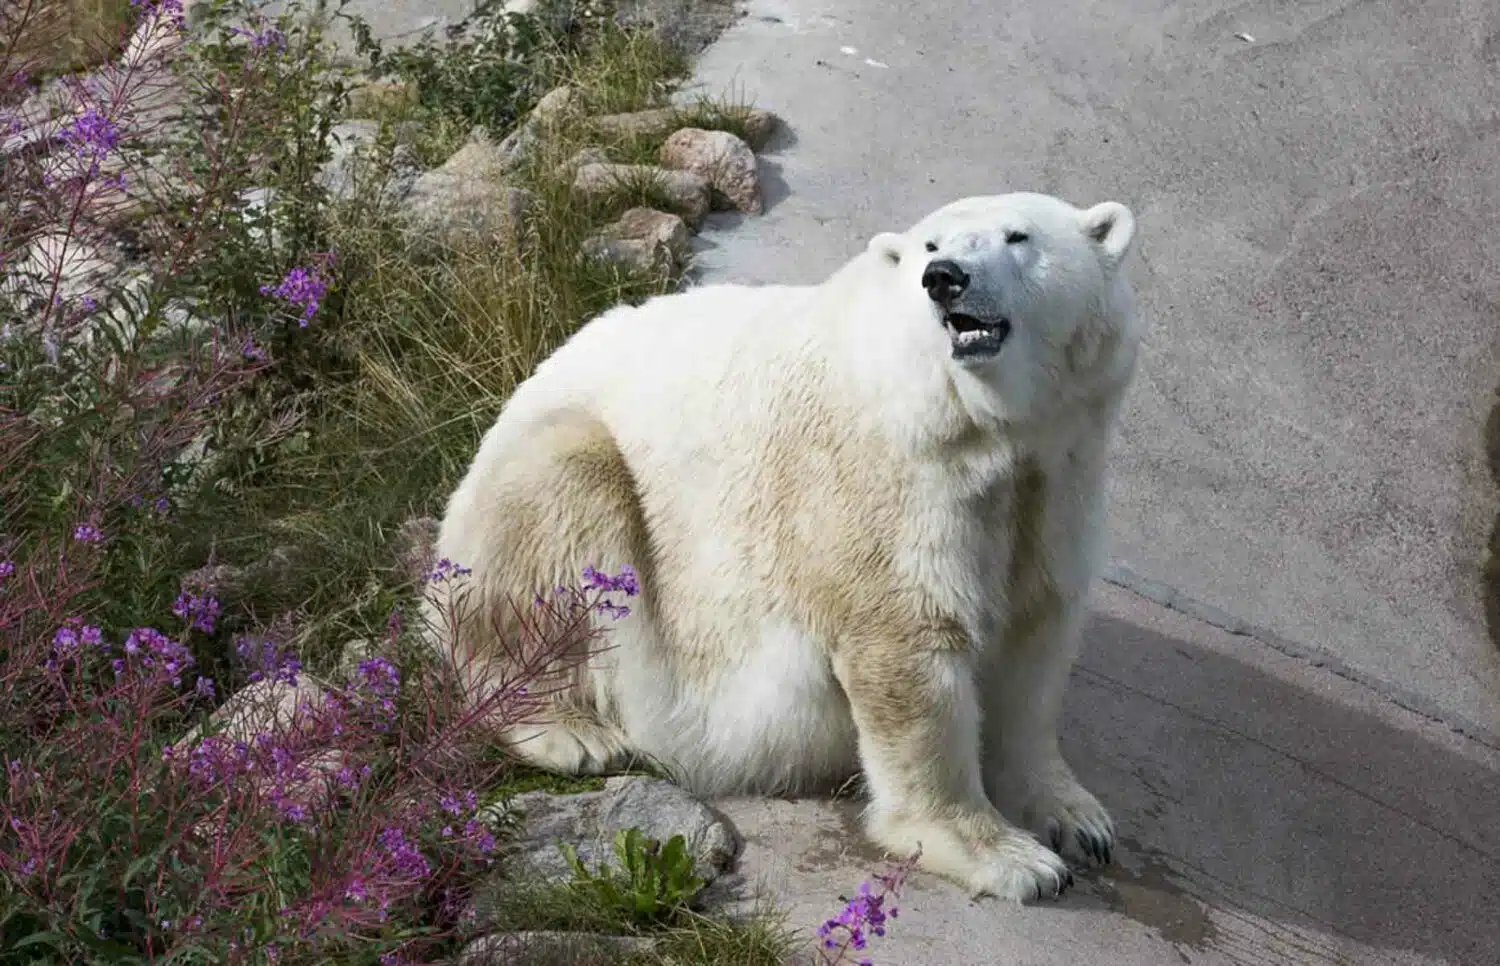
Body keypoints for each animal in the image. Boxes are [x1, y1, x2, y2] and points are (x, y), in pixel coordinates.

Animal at [429, 192, 1140, 900]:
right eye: (932, 247)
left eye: (1019, 237)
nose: (945, 280)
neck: (974, 428)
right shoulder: (887, 481)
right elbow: (909, 646)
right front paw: (1012, 860)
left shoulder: (1057, 476)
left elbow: (1034, 640)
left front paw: (1078, 819)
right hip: (538, 494)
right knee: (557, 504)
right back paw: (572, 732)